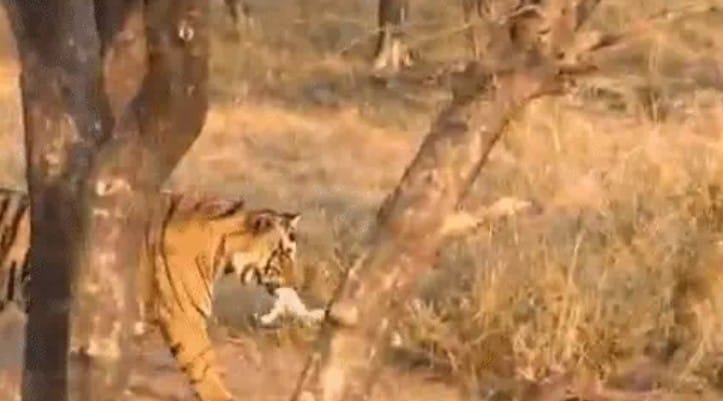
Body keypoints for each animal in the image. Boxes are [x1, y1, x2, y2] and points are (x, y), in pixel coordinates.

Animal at [0, 186, 304, 401]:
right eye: (283, 255)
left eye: (293, 253)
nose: (298, 283)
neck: (221, 251)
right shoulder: (185, 319)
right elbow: (206, 368)